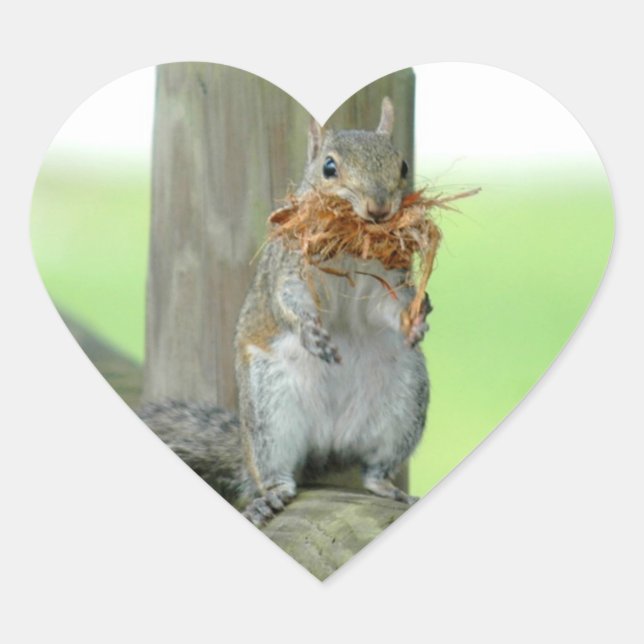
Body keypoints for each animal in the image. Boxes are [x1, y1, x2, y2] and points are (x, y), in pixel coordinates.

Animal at [140, 97, 431, 527]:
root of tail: (328, 441)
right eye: (329, 167)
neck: (350, 245)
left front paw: (416, 320)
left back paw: (388, 489)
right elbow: (289, 300)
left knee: (375, 467)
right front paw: (311, 332)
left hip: (404, 402)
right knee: (273, 472)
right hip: (269, 412)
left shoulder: (387, 278)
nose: (379, 207)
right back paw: (271, 496)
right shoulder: (290, 267)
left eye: (404, 165)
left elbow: (388, 308)